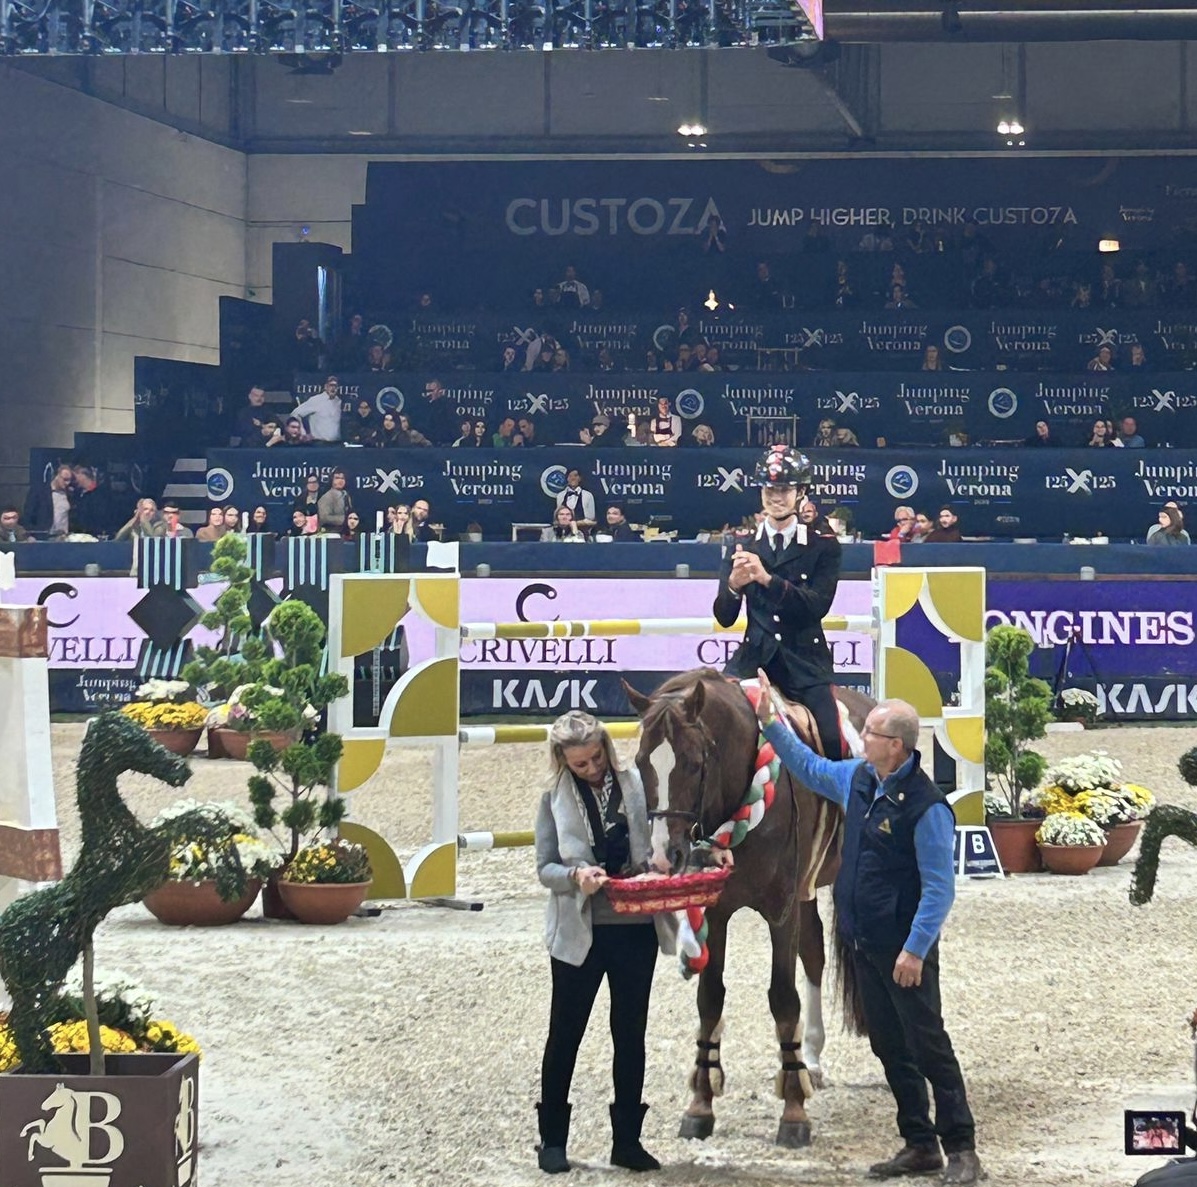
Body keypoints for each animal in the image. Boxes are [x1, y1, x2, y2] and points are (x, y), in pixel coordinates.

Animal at [627, 670, 871, 1143]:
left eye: (694, 763)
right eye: (642, 762)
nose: (665, 856)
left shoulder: (780, 910)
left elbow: (783, 999)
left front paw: (793, 1111)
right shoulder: (718, 912)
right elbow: (710, 999)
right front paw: (701, 1103)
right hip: (807, 891)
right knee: (814, 953)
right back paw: (812, 1059)